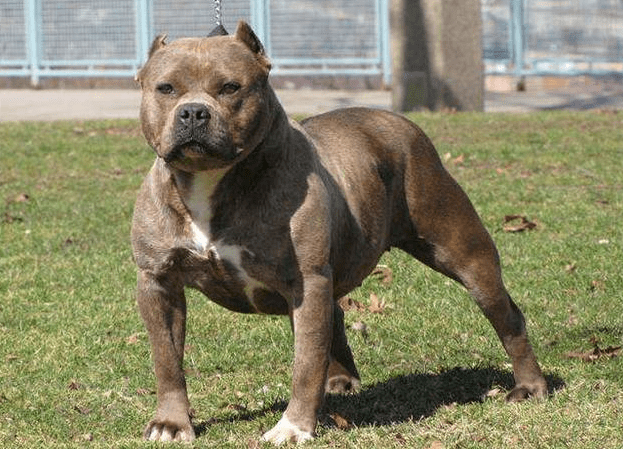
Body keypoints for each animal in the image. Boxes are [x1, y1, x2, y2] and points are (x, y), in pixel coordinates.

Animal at [132, 20, 544, 440]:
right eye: (166, 88)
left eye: (230, 87)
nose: (194, 112)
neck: (209, 183)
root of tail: (396, 119)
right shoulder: (158, 282)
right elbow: (167, 361)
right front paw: (171, 422)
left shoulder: (306, 281)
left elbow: (305, 363)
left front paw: (294, 427)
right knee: (336, 319)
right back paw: (340, 382)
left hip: (465, 254)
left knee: (507, 315)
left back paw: (530, 387)